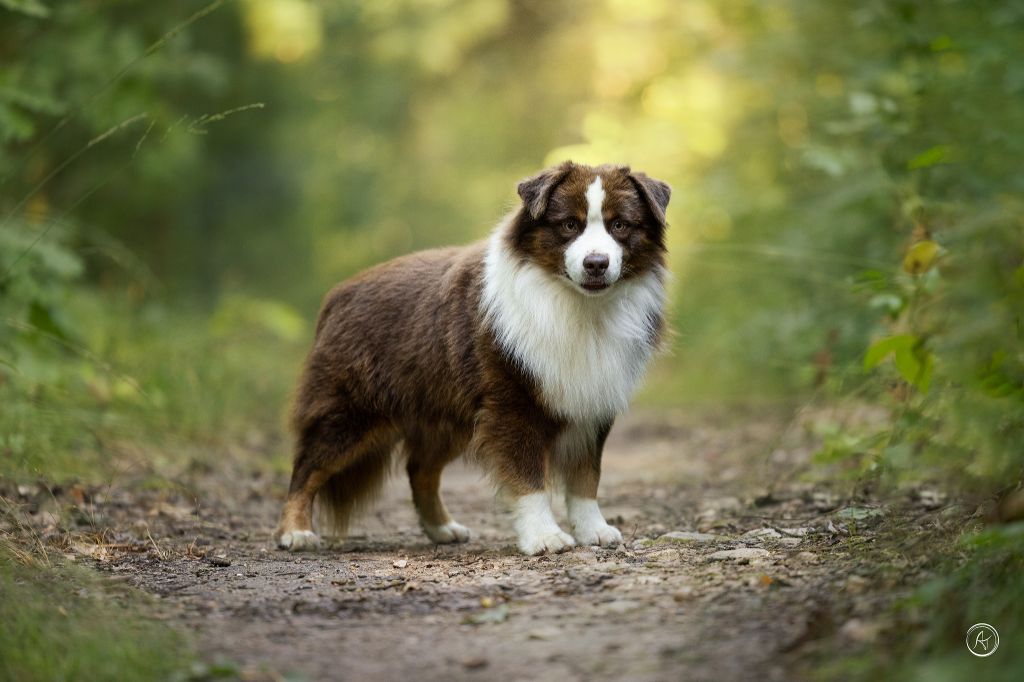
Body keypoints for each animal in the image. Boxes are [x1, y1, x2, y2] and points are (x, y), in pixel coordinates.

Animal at [274, 160, 671, 552]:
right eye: (569, 225)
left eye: (620, 225)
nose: (596, 263)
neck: (578, 306)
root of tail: (338, 296)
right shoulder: (513, 405)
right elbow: (529, 478)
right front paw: (544, 536)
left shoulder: (592, 401)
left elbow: (586, 477)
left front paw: (594, 530)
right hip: (350, 412)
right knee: (307, 466)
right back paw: (295, 532)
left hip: (445, 414)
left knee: (420, 470)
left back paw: (442, 528)